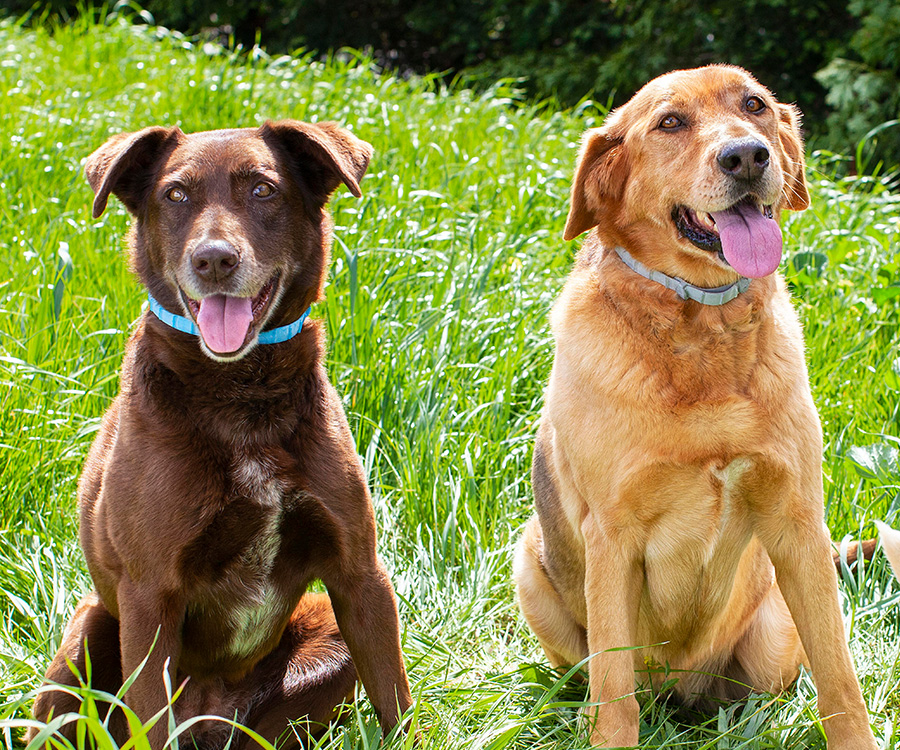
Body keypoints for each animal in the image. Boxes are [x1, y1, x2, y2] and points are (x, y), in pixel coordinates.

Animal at [29, 120, 414, 748]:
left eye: (262, 189)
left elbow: (397, 703)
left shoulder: (362, 575)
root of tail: (210, 718)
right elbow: (150, 716)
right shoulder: (149, 598)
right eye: (175, 194)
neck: (241, 397)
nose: (213, 260)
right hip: (89, 630)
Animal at [516, 66, 884, 750]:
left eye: (754, 105)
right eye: (670, 122)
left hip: (772, 631)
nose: (747, 156)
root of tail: (679, 691)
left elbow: (841, 681)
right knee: (599, 682)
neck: (703, 327)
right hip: (529, 562)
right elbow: (614, 697)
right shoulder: (611, 537)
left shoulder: (798, 522)